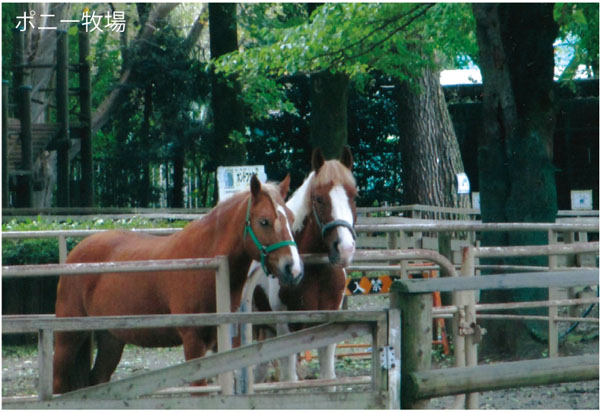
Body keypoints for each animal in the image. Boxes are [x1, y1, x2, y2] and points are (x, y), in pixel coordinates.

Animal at [53, 174, 302, 392]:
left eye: (291, 218)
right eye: (264, 221)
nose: (294, 269)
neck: (206, 262)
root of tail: (75, 254)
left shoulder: (223, 341)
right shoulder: (193, 341)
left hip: (111, 339)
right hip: (68, 339)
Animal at [247, 146, 358, 384]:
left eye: (354, 196)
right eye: (319, 199)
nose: (345, 249)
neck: (315, 272)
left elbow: (328, 379)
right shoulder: (286, 328)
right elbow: (289, 380)